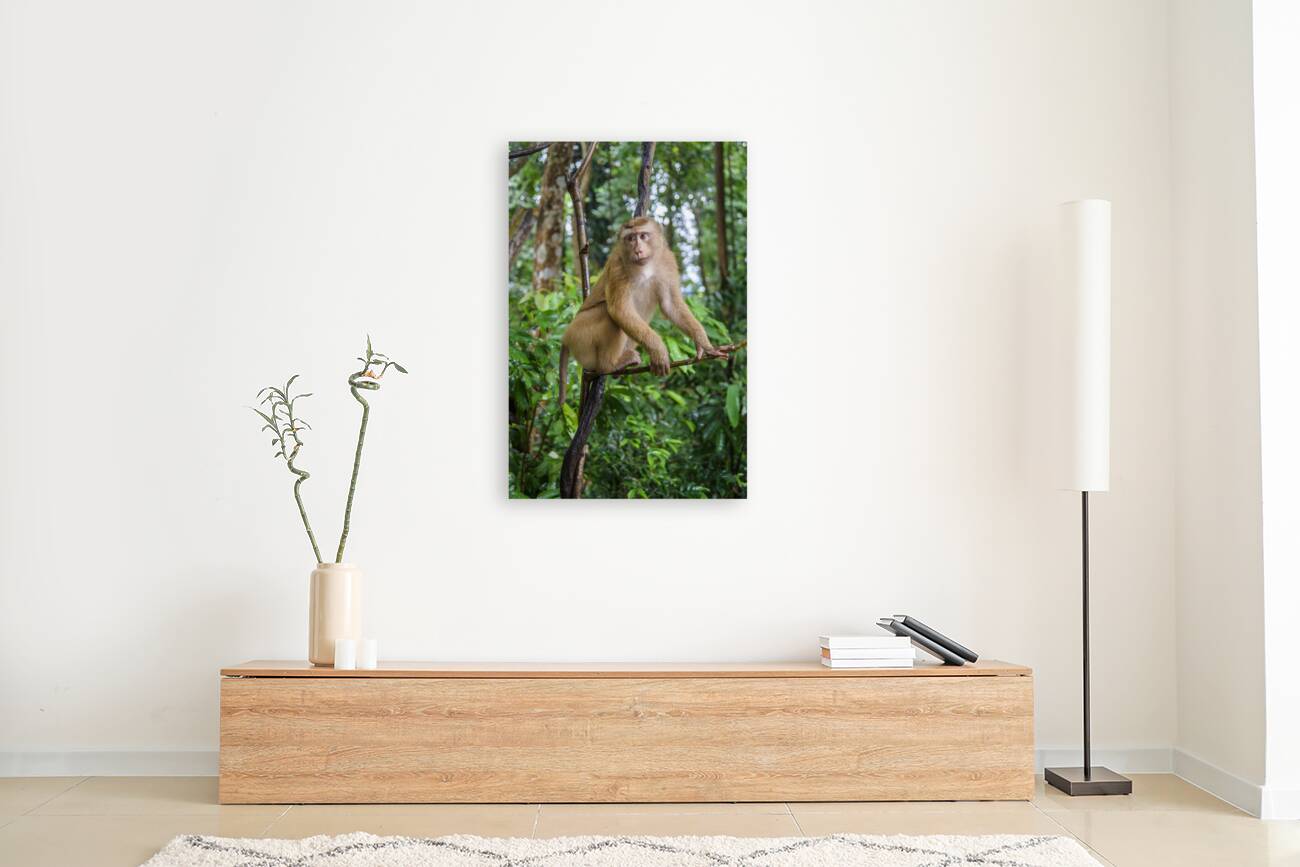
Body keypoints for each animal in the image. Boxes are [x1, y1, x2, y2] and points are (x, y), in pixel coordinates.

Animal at [557, 217, 724, 407]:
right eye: (630, 239)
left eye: (643, 236)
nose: (637, 250)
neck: (645, 266)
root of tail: (566, 337)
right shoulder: (617, 264)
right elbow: (619, 309)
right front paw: (659, 350)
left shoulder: (668, 261)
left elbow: (670, 304)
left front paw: (703, 343)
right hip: (580, 337)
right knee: (607, 314)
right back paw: (610, 365)